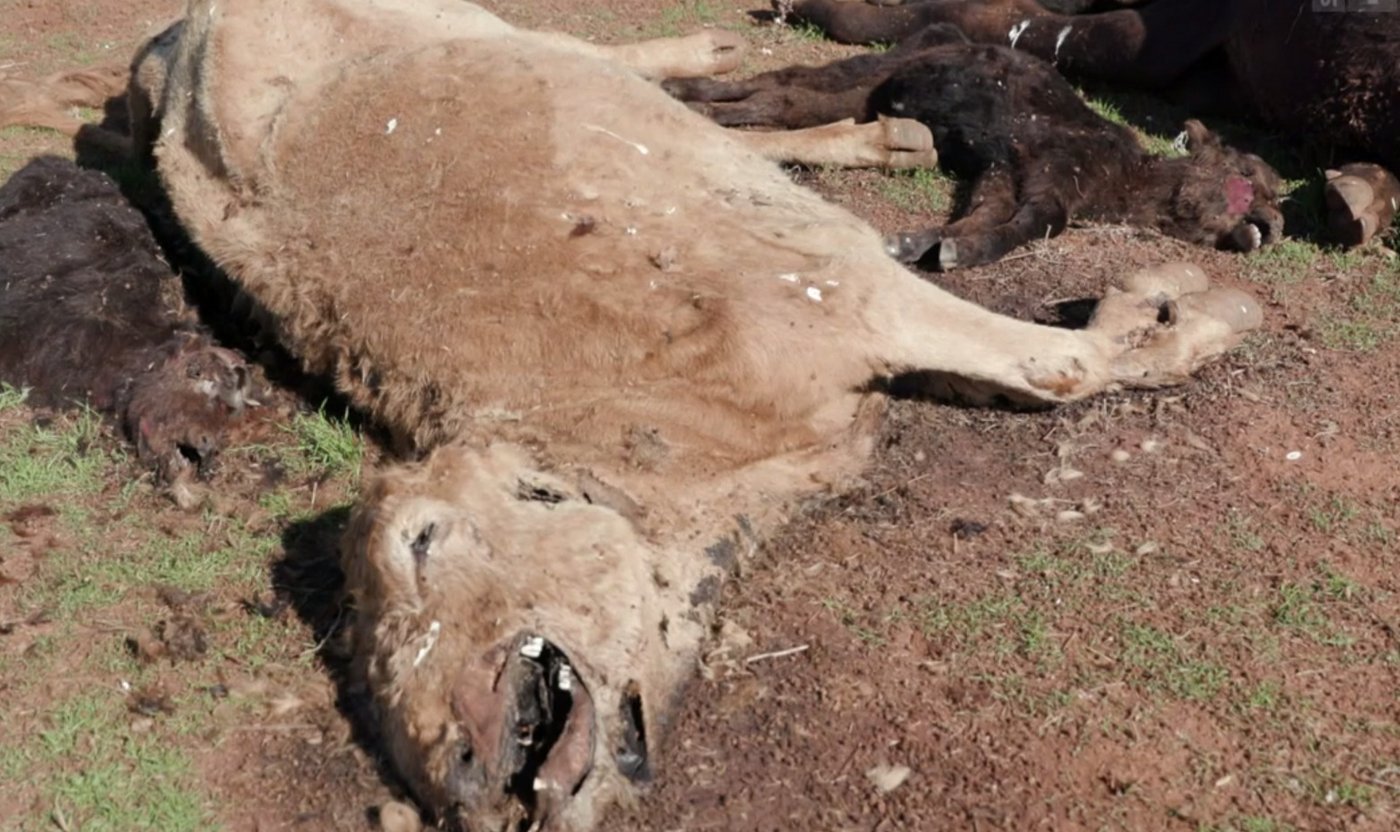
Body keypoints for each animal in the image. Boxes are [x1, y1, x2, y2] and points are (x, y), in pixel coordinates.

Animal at [665, 24, 1286, 270]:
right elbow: (1036, 223)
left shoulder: (1002, 168)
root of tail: (941, 34)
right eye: (1252, 175)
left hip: (860, 96)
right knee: (783, 86)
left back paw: (688, 99)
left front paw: (925, 244)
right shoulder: (1051, 173)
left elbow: (979, 216)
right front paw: (957, 252)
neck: (1128, 180)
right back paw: (688, 96)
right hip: (869, 72)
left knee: (783, 98)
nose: (1277, 225)